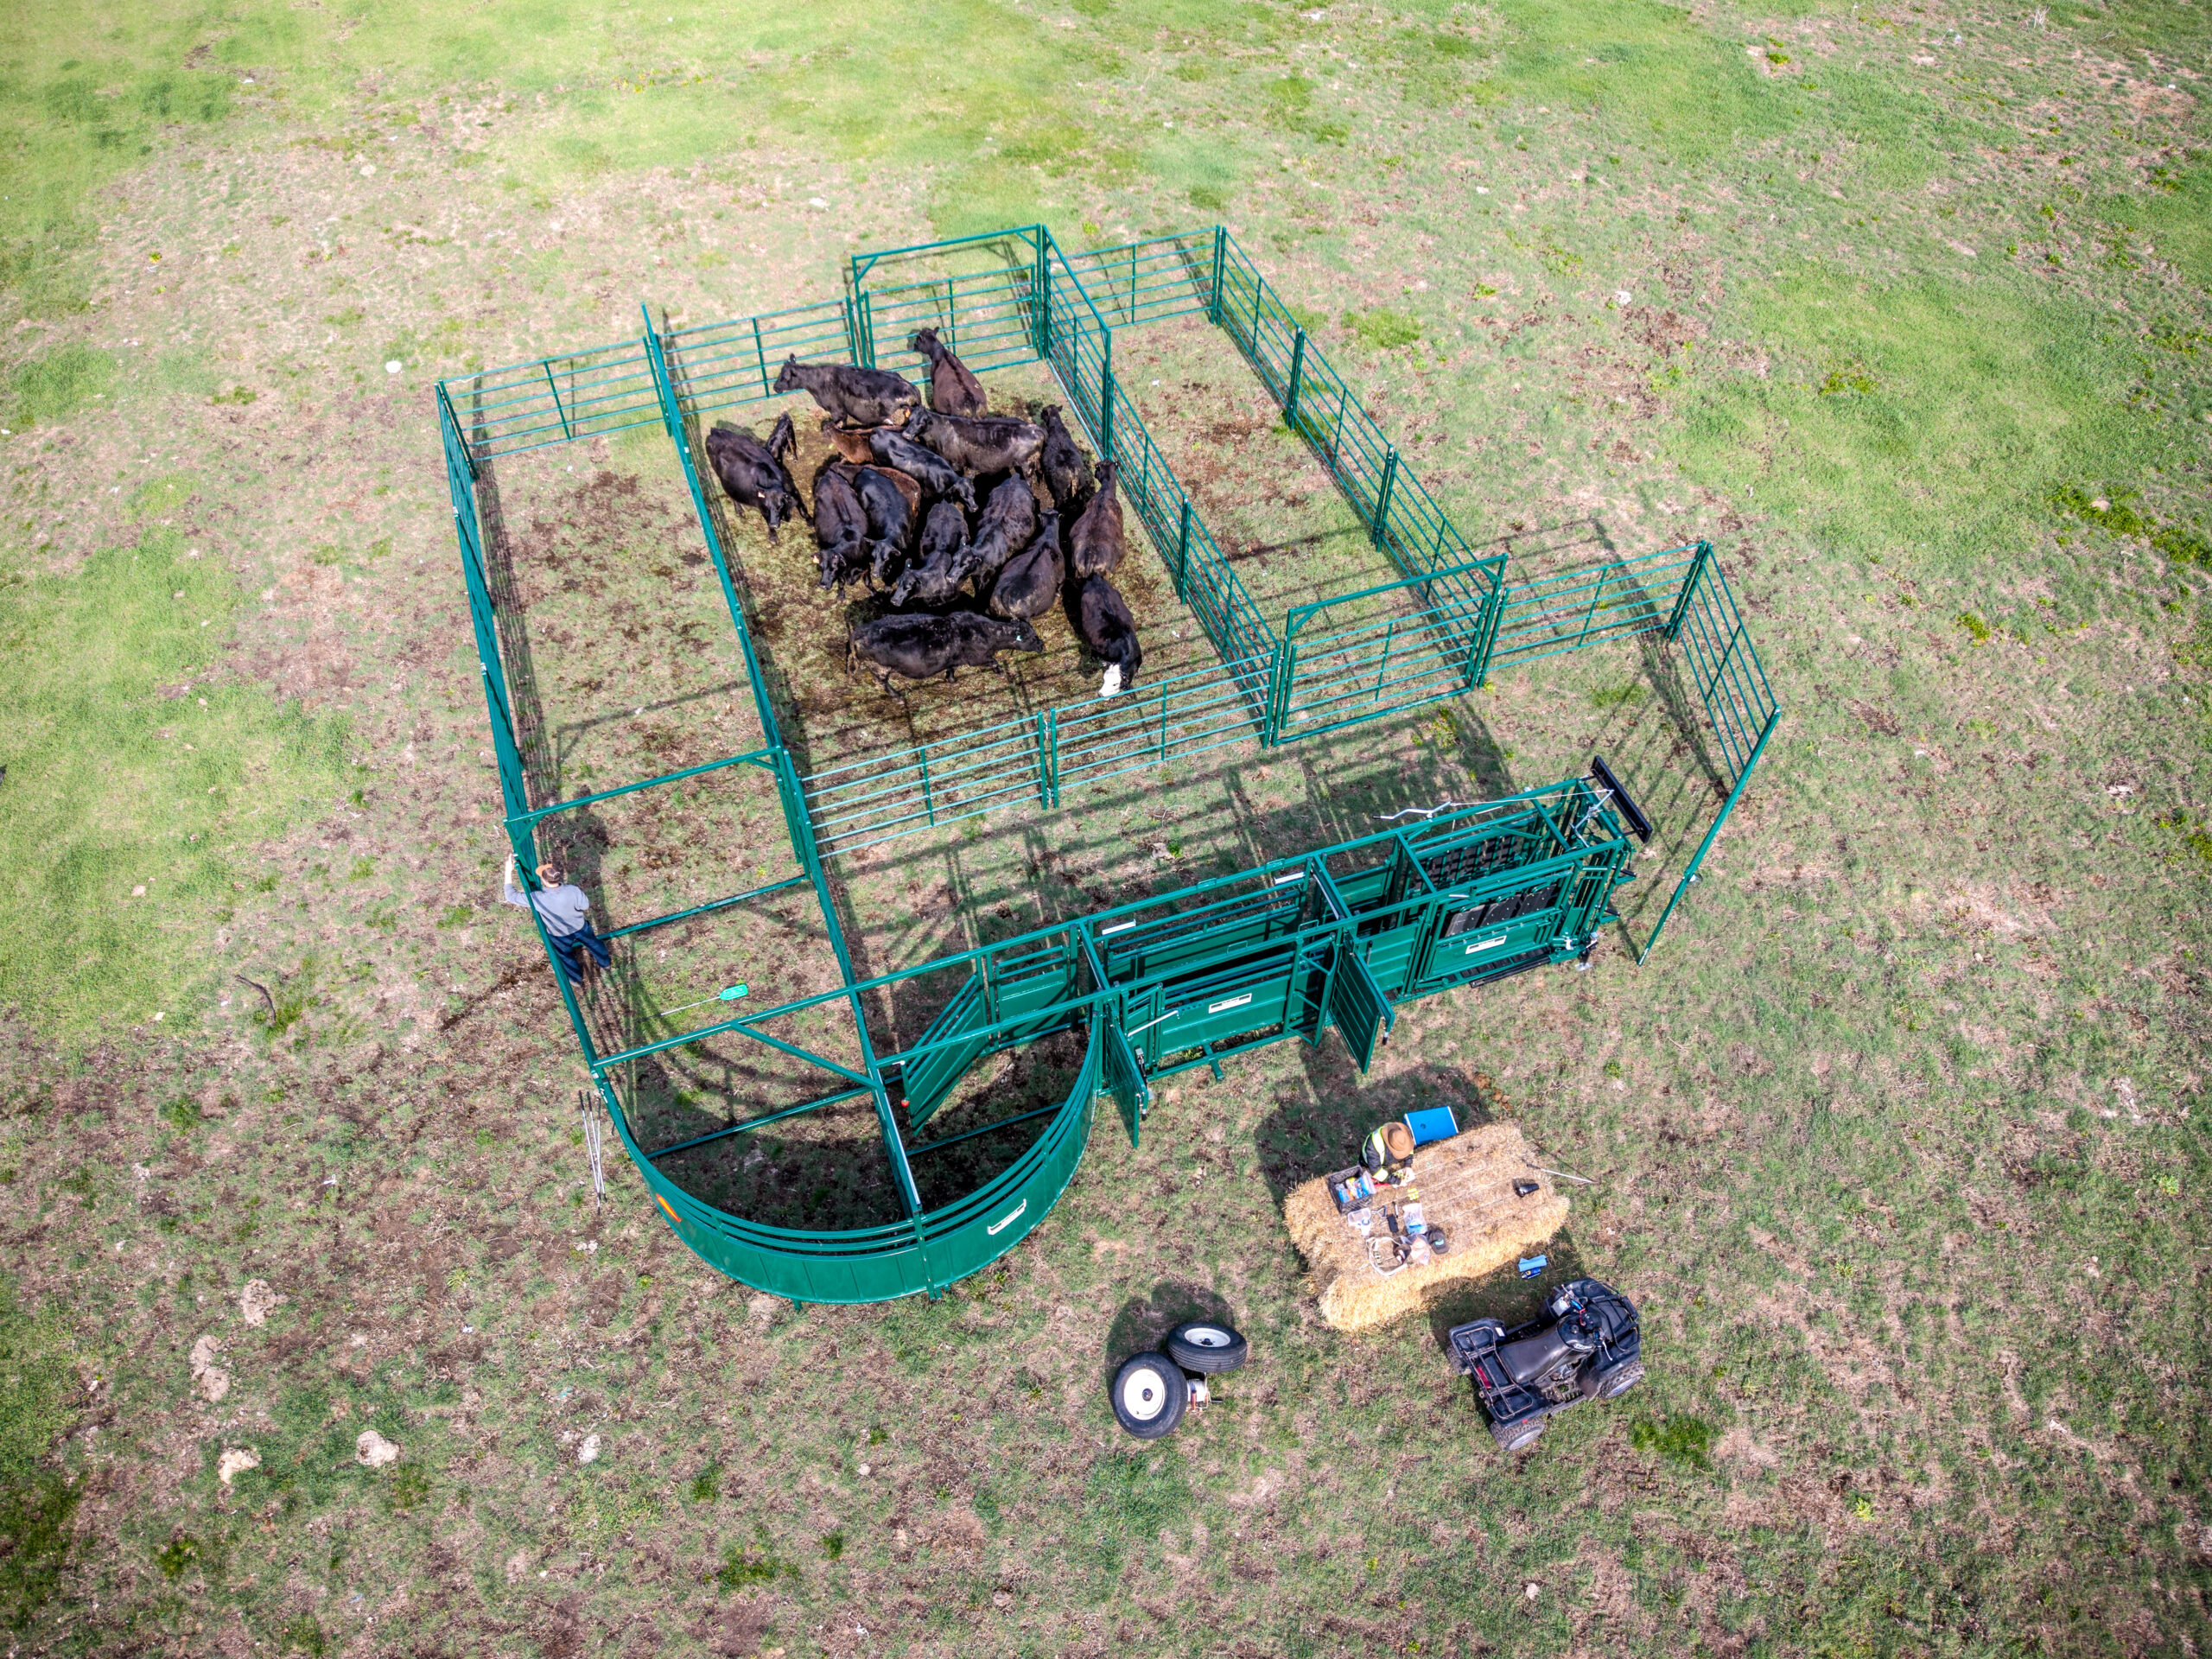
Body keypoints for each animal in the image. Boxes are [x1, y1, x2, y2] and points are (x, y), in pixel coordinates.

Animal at [705, 413, 802, 539]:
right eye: (767, 506)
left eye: (780, 506)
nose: (774, 524)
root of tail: (715, 431)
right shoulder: (761, 506)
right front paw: (773, 537)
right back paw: (739, 510)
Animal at [810, 464, 872, 592]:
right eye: (821, 566)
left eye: (834, 568)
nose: (823, 585)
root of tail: (830, 473)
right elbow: (841, 582)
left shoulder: (866, 566)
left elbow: (868, 582)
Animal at [847, 610, 1043, 693]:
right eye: (1032, 637)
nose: (1042, 645)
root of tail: (858, 633)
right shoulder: (978, 658)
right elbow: (994, 661)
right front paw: (1001, 672)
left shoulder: (954, 659)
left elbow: (952, 668)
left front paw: (951, 680)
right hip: (881, 668)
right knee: (882, 682)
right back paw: (897, 697)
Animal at [901, 407, 1045, 479]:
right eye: (910, 419)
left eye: (922, 423)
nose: (906, 434)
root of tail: (1032, 427)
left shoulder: (957, 463)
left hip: (1027, 465)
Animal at [1038, 405, 1095, 517]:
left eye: (1043, 411)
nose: (1040, 415)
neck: (1056, 427)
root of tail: (1072, 472)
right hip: (1081, 489)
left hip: (1061, 492)